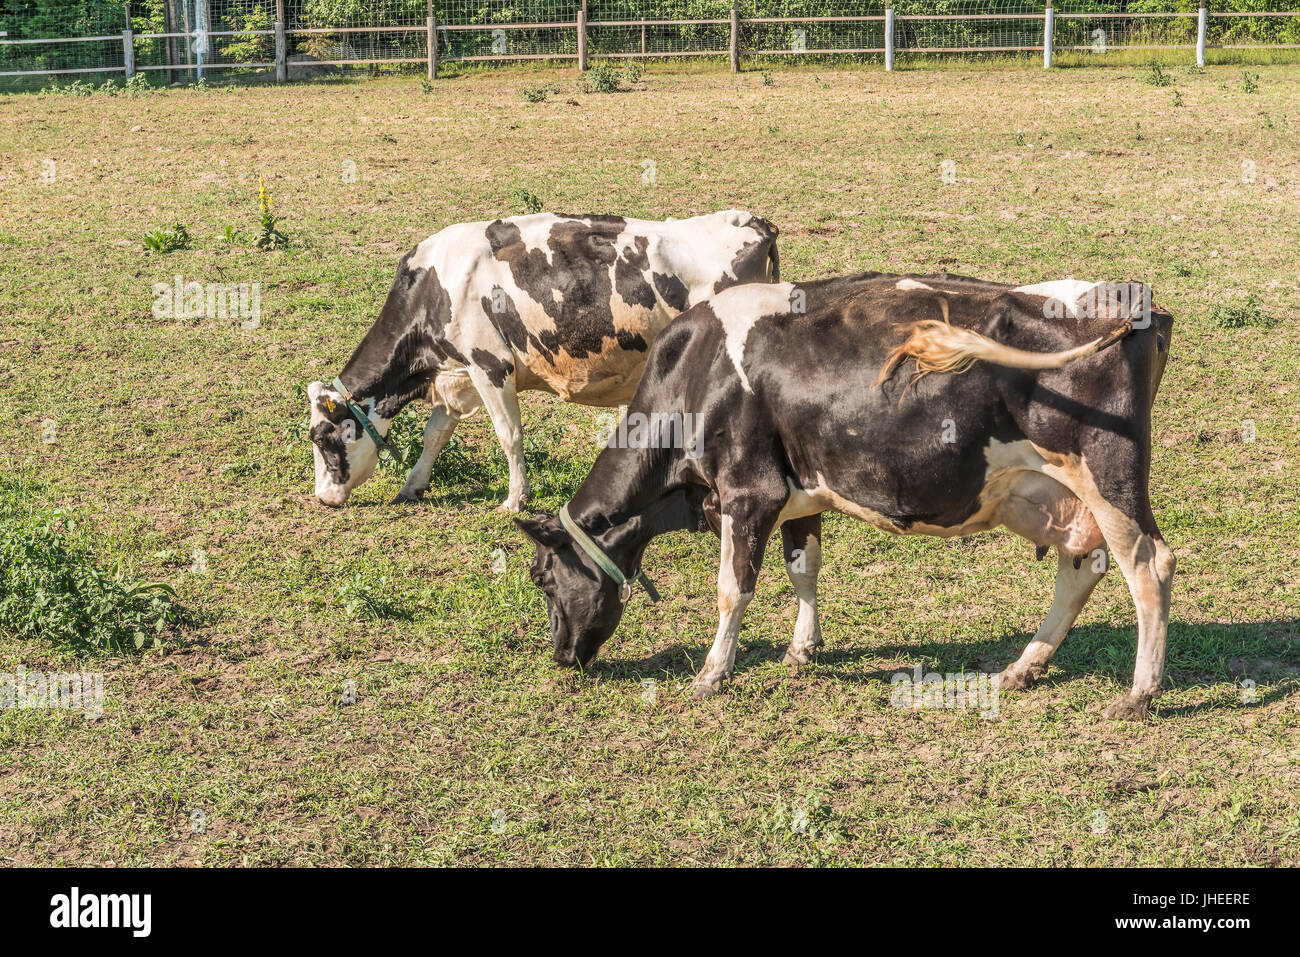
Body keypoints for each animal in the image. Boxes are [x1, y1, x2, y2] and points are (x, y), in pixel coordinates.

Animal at [306, 209, 779, 510]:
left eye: (323, 438)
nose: (323, 498)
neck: (435, 287)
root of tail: (751, 221)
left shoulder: (490, 367)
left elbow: (508, 435)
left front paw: (515, 499)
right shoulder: (458, 373)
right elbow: (435, 433)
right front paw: (413, 486)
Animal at [515, 273, 1175, 720]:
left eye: (543, 577)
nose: (562, 655)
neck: (694, 372)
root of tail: (1134, 299)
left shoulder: (747, 490)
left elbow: (734, 588)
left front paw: (712, 673)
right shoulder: (798, 495)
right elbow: (803, 570)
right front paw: (802, 649)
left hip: (1110, 478)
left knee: (1149, 566)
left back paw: (1139, 694)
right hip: (1050, 495)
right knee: (1082, 566)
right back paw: (1023, 667)